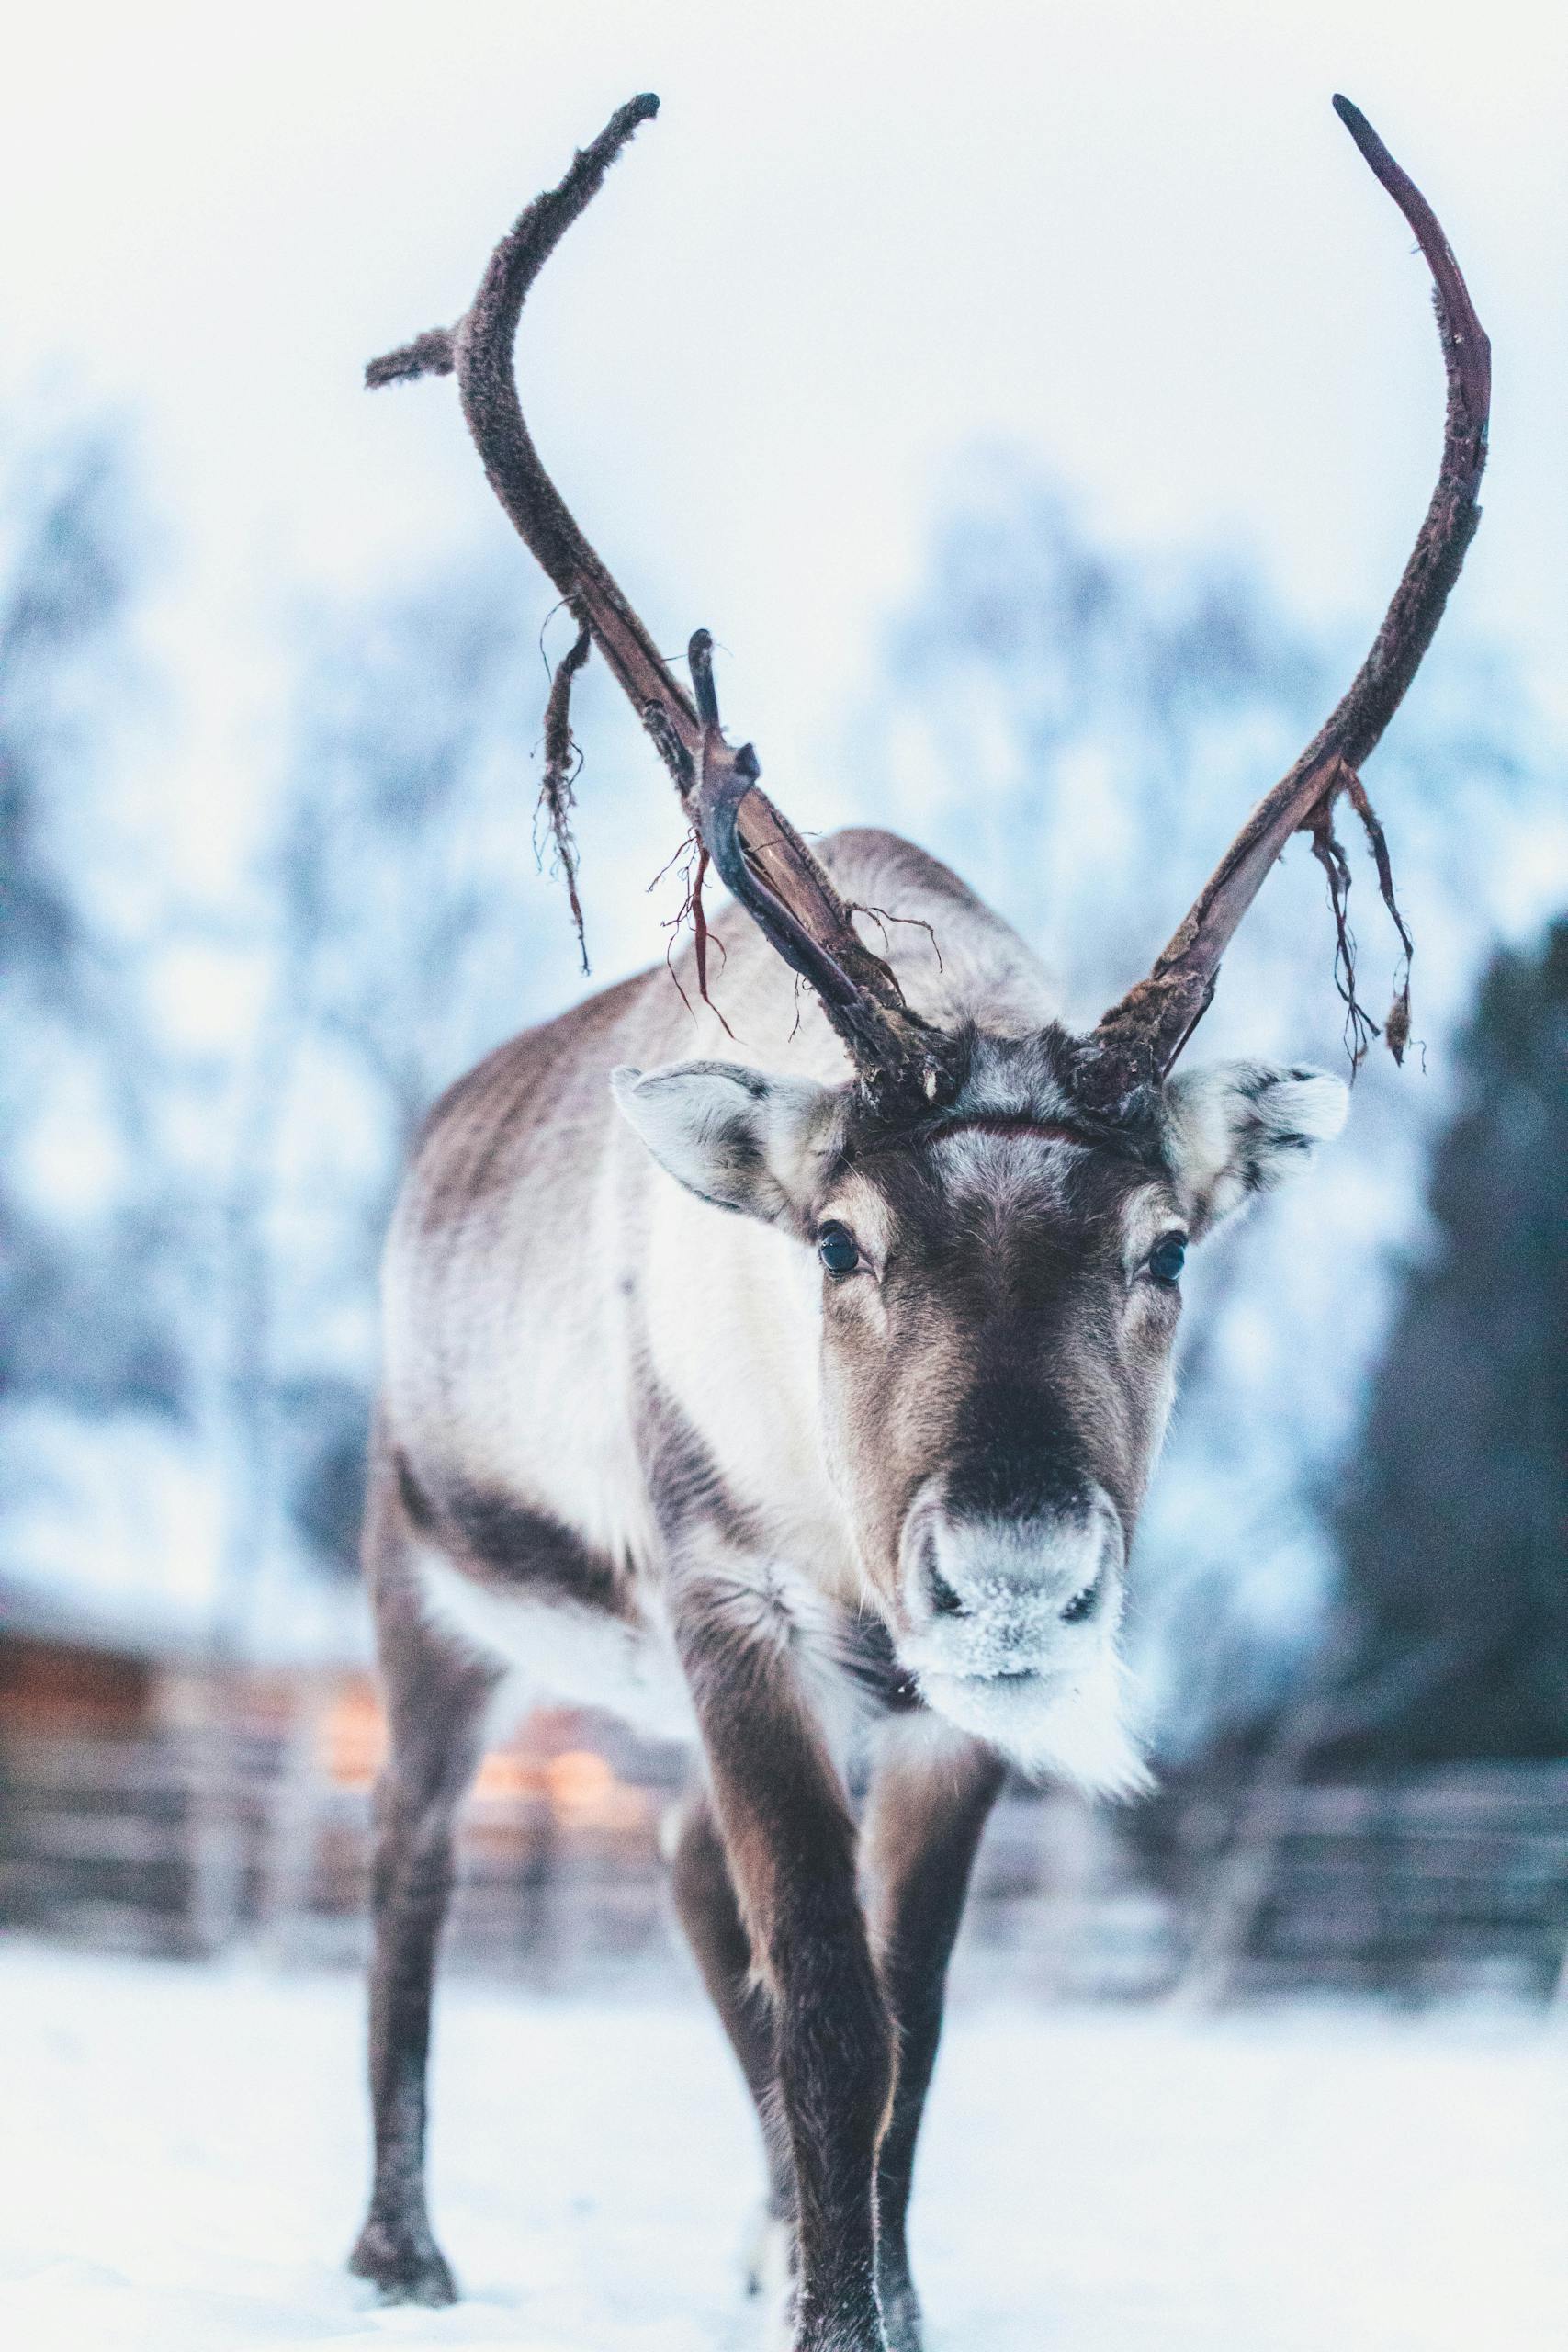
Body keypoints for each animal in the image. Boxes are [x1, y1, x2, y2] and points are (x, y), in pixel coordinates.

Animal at [347, 93, 1487, 2352]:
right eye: (837, 1245)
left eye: (1165, 1249)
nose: (1017, 1558)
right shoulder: (728, 1615)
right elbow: (835, 2018)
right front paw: (831, 2314)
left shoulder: (950, 1724)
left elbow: (912, 2027)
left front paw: (867, 2290)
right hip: (425, 1590)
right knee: (412, 1868)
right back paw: (403, 2248)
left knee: (691, 1894)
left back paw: (743, 2241)